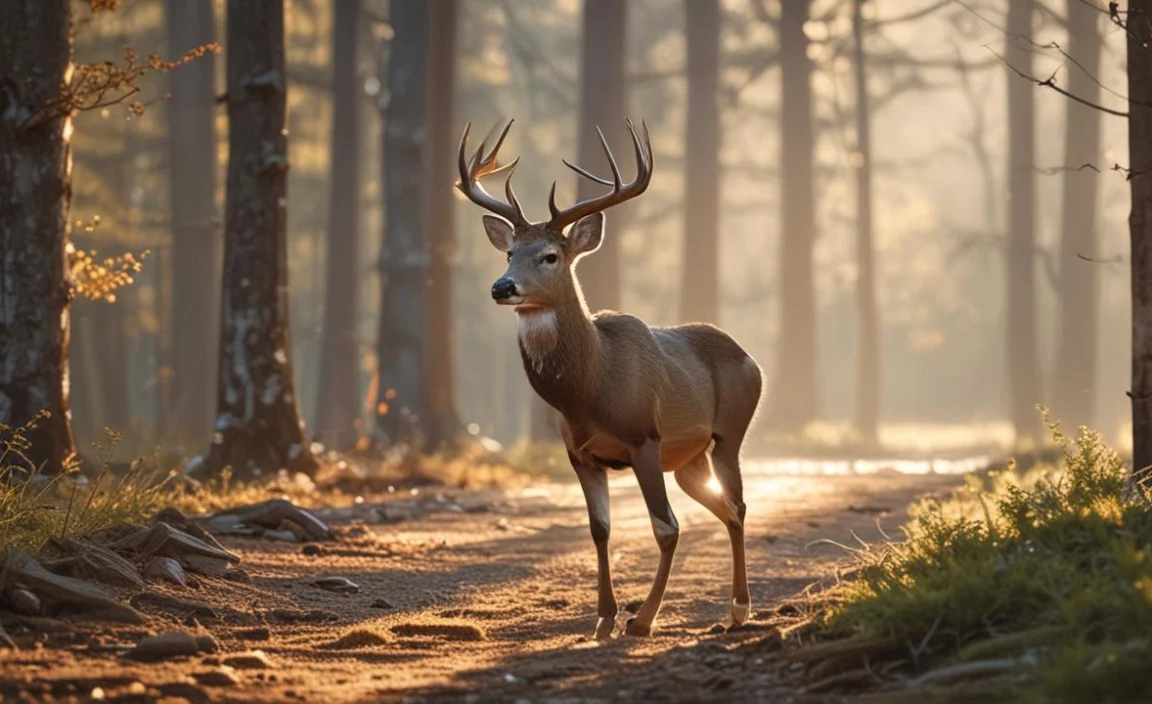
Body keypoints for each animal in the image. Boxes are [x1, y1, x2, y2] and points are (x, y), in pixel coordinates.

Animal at [456, 118, 763, 639]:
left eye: (551, 255)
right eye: (510, 252)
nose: (502, 287)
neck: (589, 390)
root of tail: (751, 359)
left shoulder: (643, 437)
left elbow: (666, 527)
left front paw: (641, 619)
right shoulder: (580, 454)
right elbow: (599, 529)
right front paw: (602, 618)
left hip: (730, 434)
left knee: (737, 506)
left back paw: (740, 608)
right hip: (688, 459)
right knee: (724, 508)